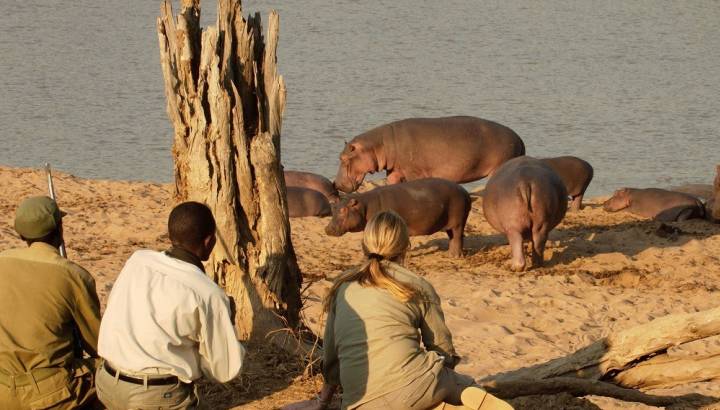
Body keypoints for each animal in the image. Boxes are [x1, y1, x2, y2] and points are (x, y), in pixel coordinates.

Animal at [324, 178, 471, 257]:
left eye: (343, 210)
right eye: (334, 208)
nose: (327, 229)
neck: (364, 206)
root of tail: (464, 191)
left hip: (458, 222)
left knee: (458, 237)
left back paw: (455, 256)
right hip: (449, 224)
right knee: (453, 237)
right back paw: (450, 254)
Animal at [333, 116, 525, 193]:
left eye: (343, 158)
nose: (336, 184)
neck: (379, 145)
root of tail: (520, 139)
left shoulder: (413, 171)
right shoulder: (395, 170)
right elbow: (392, 181)